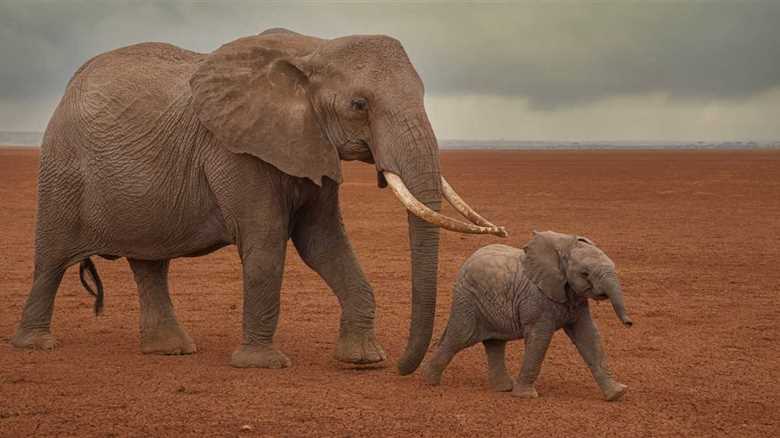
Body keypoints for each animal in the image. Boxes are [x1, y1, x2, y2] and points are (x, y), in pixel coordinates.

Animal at [9, 28, 507, 373]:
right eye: (359, 104)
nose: (406, 368)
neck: (313, 50)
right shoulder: (236, 149)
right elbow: (266, 245)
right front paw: (262, 365)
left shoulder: (310, 143)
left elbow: (324, 243)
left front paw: (364, 360)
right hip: (62, 169)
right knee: (51, 259)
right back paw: (35, 345)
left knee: (151, 264)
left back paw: (170, 350)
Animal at [422, 231, 633, 400]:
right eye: (585, 273)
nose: (629, 323)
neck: (563, 247)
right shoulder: (535, 300)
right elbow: (540, 339)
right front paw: (526, 396)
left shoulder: (576, 300)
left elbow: (589, 336)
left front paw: (617, 394)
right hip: (467, 300)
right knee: (458, 338)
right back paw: (429, 382)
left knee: (494, 343)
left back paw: (503, 389)